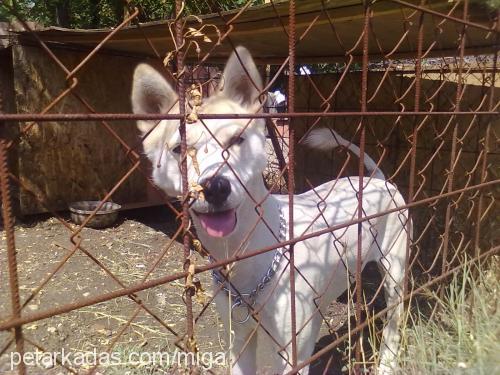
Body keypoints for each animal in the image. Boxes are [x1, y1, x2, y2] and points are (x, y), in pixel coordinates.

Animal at [131, 47, 408, 375]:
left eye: (236, 139)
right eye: (179, 149)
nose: (215, 187)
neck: (246, 253)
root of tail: (380, 180)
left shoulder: (293, 351)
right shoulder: (239, 339)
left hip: (395, 273)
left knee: (393, 324)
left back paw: (387, 363)